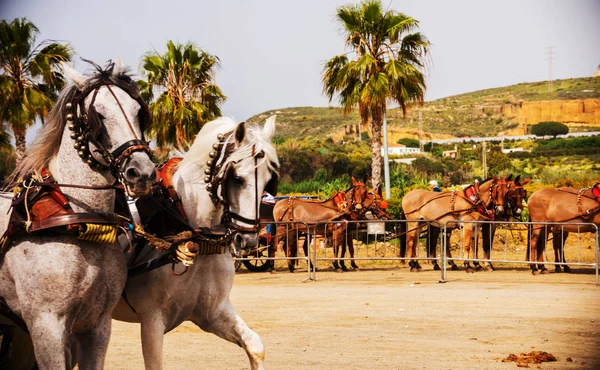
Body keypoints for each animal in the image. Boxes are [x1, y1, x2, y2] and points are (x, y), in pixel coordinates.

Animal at [0, 59, 157, 368]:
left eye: (138, 111)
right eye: (98, 116)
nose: (142, 172)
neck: (77, 222)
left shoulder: (97, 325)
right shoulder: (46, 325)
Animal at [112, 115, 278, 370]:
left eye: (269, 180)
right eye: (237, 178)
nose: (248, 238)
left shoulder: (212, 312)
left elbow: (255, 346)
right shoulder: (151, 319)